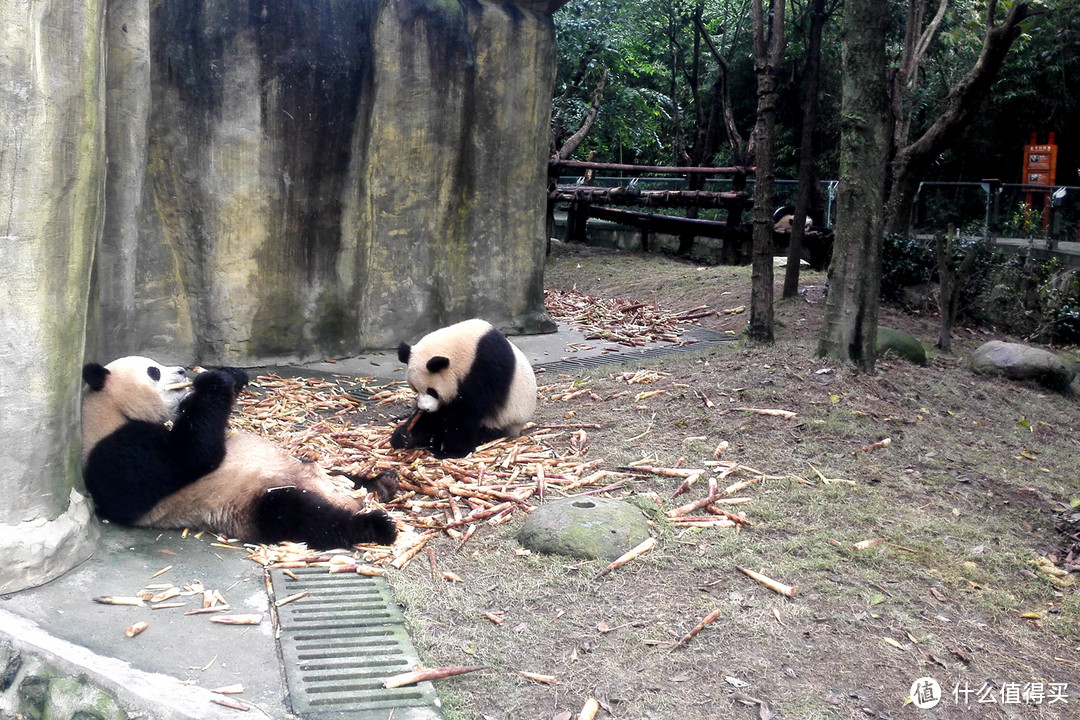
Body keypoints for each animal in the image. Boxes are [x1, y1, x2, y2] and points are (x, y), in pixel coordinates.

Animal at [79, 358, 399, 548]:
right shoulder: (116, 452)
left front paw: (231, 376)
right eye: (153, 371)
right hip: (250, 503)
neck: (108, 412)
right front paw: (213, 380)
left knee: (335, 476)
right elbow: (191, 457)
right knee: (301, 516)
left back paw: (381, 484)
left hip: (313, 473)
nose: (182, 371)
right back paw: (374, 526)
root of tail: (346, 499)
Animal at [390, 319, 537, 459]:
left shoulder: (483, 369)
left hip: (506, 419)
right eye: (415, 389)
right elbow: (436, 415)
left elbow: (465, 411)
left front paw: (452, 452)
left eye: (432, 391)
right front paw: (405, 435)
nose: (425, 408)